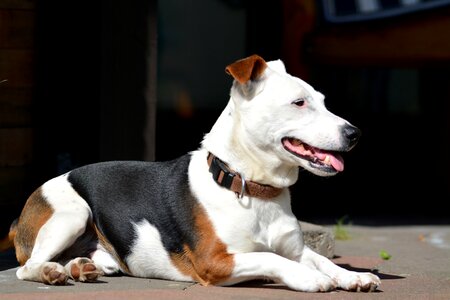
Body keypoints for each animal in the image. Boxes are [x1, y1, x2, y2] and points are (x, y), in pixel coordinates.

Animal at [0, 54, 380, 292]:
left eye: (323, 101)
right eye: (299, 103)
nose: (355, 133)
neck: (249, 187)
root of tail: (19, 217)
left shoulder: (297, 249)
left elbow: (321, 259)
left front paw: (352, 276)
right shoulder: (215, 261)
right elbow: (271, 257)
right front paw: (309, 278)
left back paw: (79, 267)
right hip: (72, 213)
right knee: (26, 267)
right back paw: (52, 271)